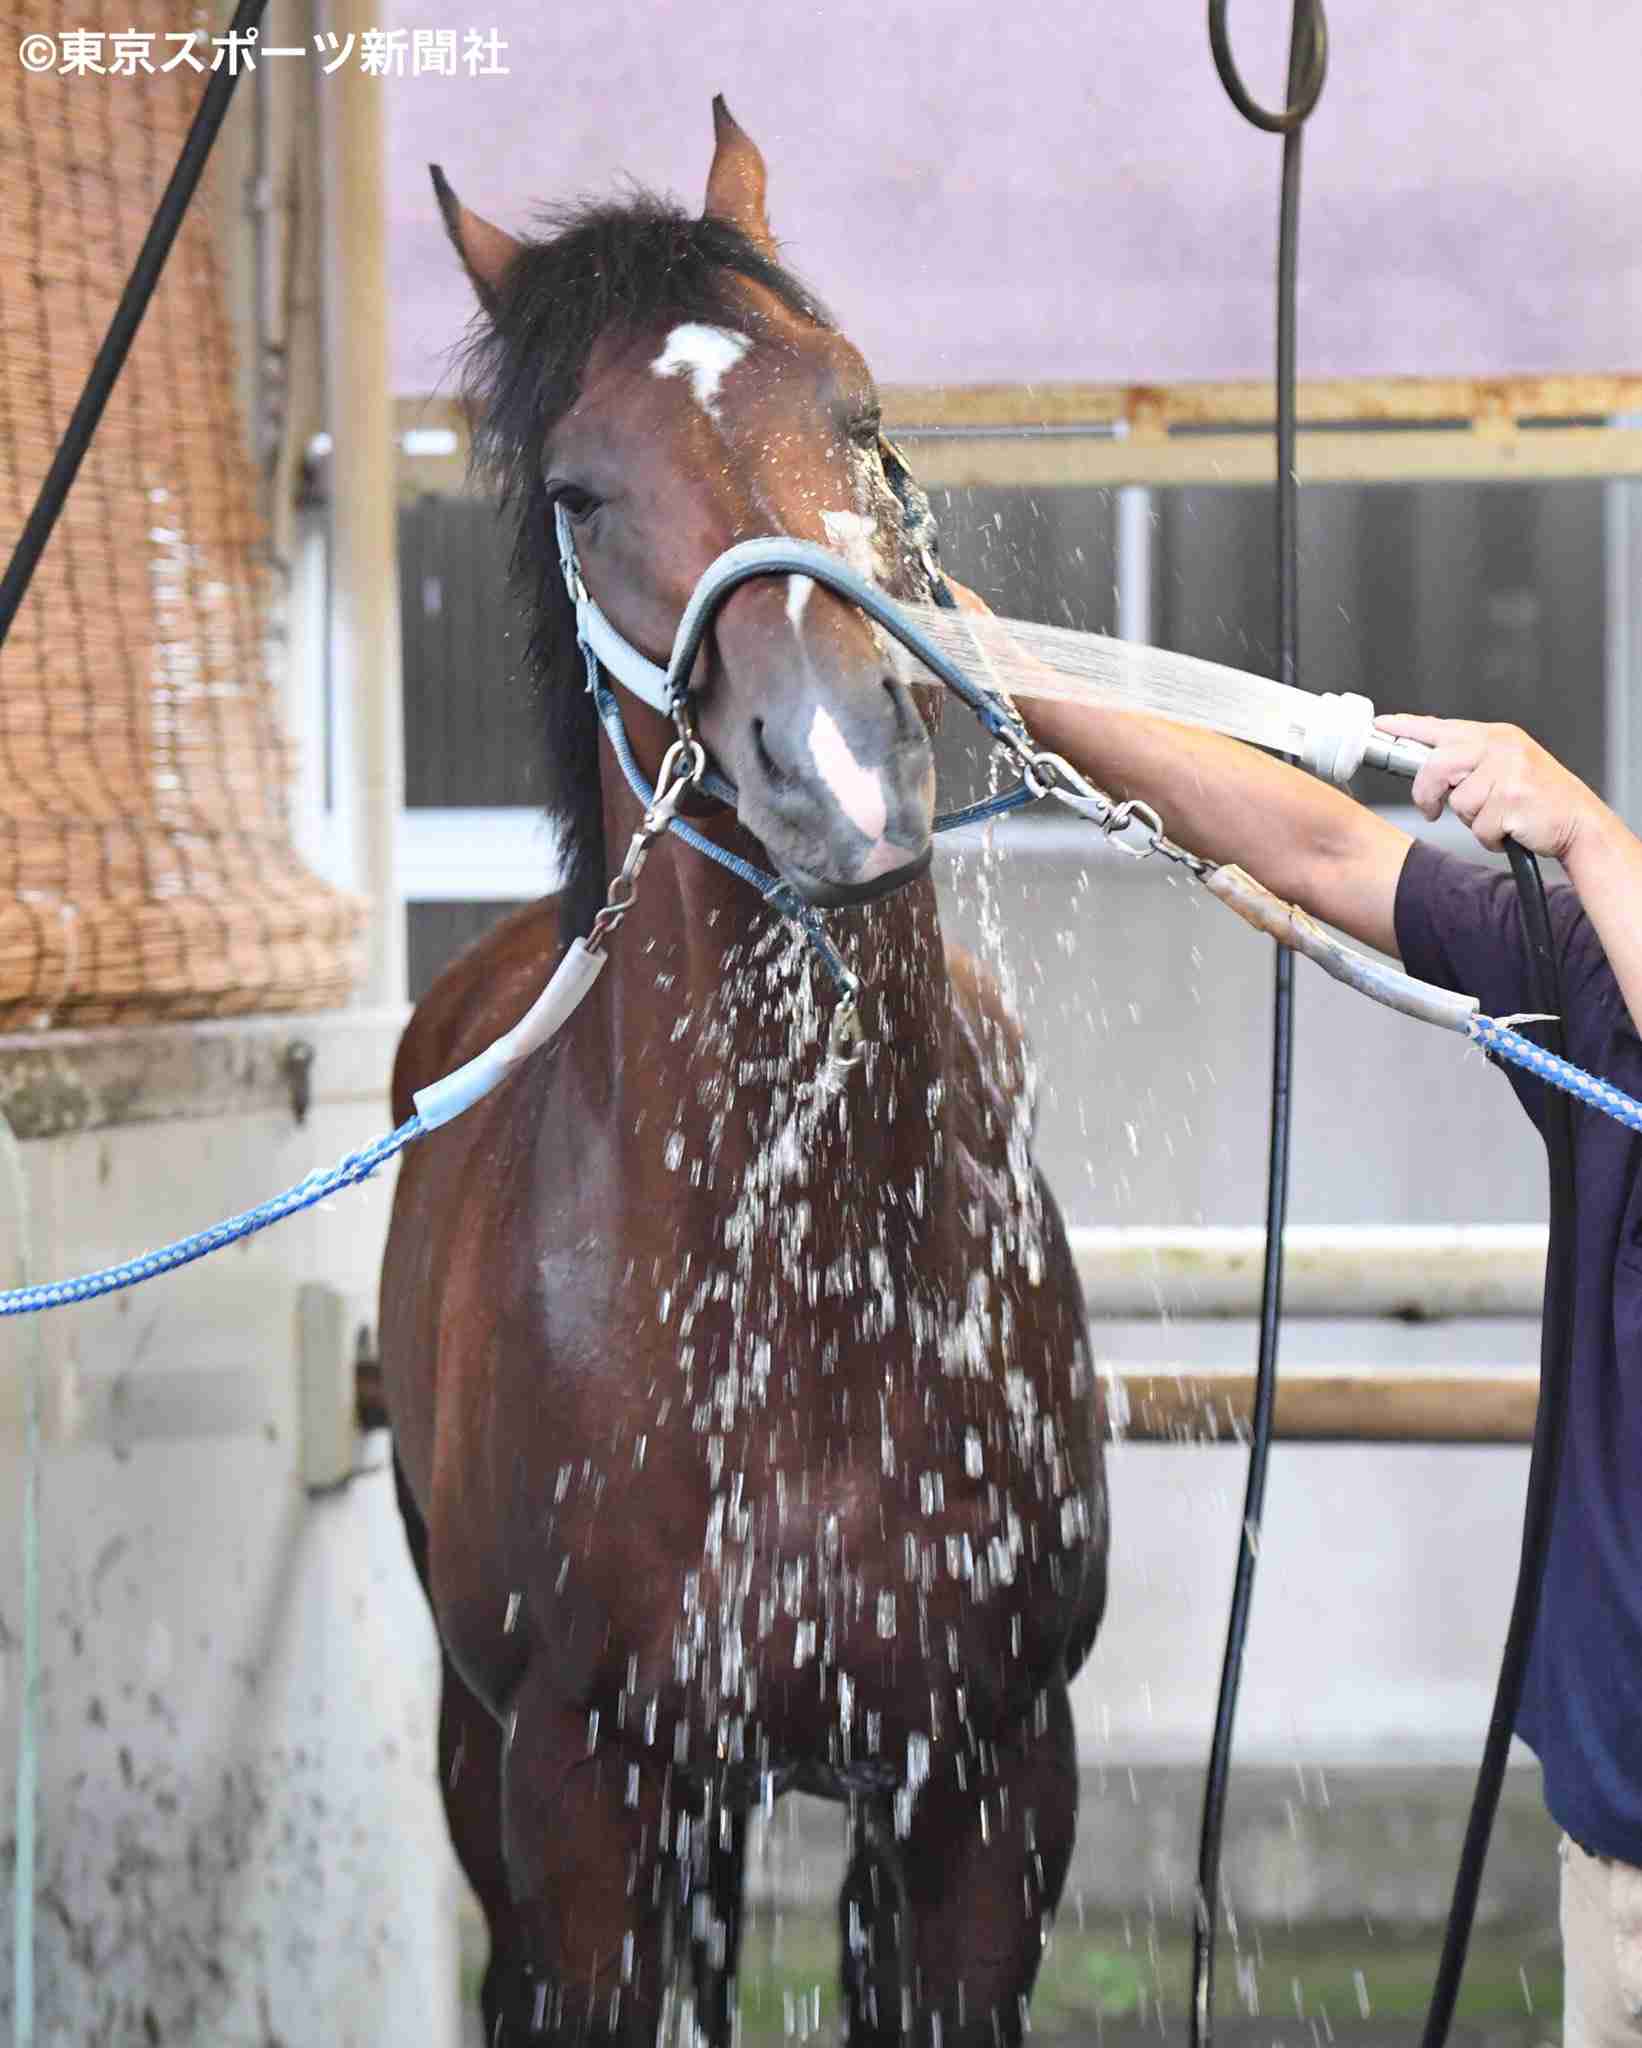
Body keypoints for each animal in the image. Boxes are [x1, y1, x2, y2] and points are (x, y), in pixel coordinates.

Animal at [379, 98, 1108, 2048]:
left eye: (858, 411)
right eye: (577, 489)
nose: (837, 775)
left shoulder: (985, 1784)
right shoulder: (578, 1797)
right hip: (491, 1763)